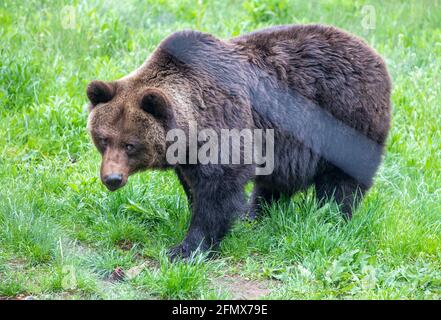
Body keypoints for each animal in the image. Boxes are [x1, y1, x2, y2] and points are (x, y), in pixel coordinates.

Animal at [87, 25, 390, 260]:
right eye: (103, 139)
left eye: (131, 144)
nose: (112, 178)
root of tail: (375, 55)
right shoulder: (190, 153)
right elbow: (194, 186)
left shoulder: (225, 120)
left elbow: (219, 188)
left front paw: (186, 248)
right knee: (274, 182)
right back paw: (257, 214)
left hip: (346, 118)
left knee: (342, 182)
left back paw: (331, 217)